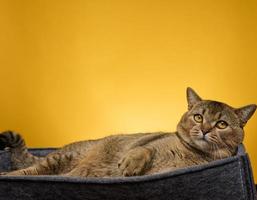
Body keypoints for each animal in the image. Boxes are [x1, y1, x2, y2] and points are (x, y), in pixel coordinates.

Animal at [0, 87, 255, 177]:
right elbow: (143, 149)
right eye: (198, 117)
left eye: (221, 124)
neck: (191, 154)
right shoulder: (148, 144)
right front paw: (130, 165)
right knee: (25, 172)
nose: (203, 129)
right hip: (59, 160)